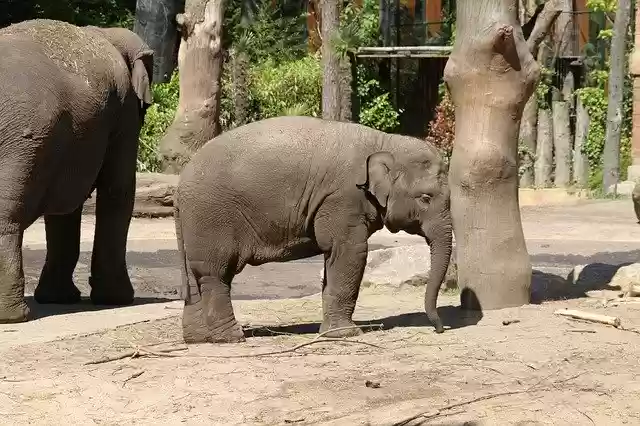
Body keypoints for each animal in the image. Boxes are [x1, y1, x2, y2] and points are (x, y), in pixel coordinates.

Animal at [0, 19, 154, 323]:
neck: (104, 32)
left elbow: (65, 210)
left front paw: (58, 299)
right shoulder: (125, 112)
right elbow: (118, 191)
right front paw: (119, 300)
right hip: (20, 142)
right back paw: (12, 316)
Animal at [174, 115, 453, 344]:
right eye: (425, 198)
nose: (440, 329)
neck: (385, 141)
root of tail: (179, 186)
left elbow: (335, 259)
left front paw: (330, 332)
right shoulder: (342, 199)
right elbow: (350, 252)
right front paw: (347, 334)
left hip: (194, 224)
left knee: (195, 275)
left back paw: (199, 339)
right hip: (212, 218)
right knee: (216, 273)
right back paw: (232, 337)